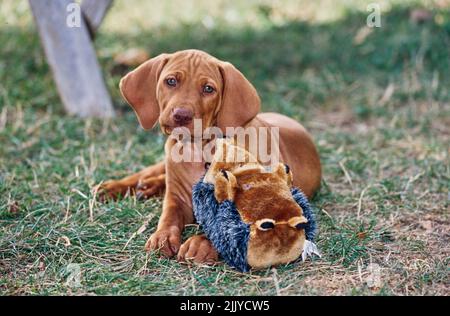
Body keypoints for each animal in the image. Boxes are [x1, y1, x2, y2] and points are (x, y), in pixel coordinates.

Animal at [100, 50, 322, 264]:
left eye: (208, 89)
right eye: (171, 81)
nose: (181, 115)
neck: (200, 148)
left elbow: (227, 226)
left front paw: (200, 244)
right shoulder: (177, 198)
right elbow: (169, 216)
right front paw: (162, 237)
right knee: (150, 172)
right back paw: (114, 187)